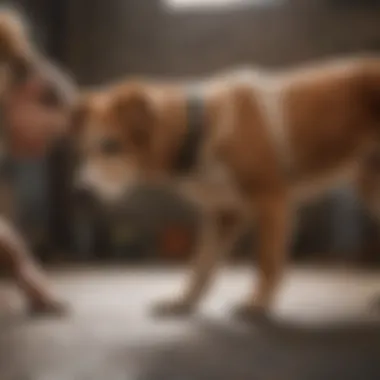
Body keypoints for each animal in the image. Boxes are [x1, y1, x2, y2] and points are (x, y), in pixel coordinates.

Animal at [70, 57, 380, 318]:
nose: (80, 193)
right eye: (83, 151)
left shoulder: (271, 201)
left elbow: (266, 260)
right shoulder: (224, 214)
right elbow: (201, 265)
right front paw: (183, 302)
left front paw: (258, 303)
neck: (202, 130)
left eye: (111, 145)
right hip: (371, 188)